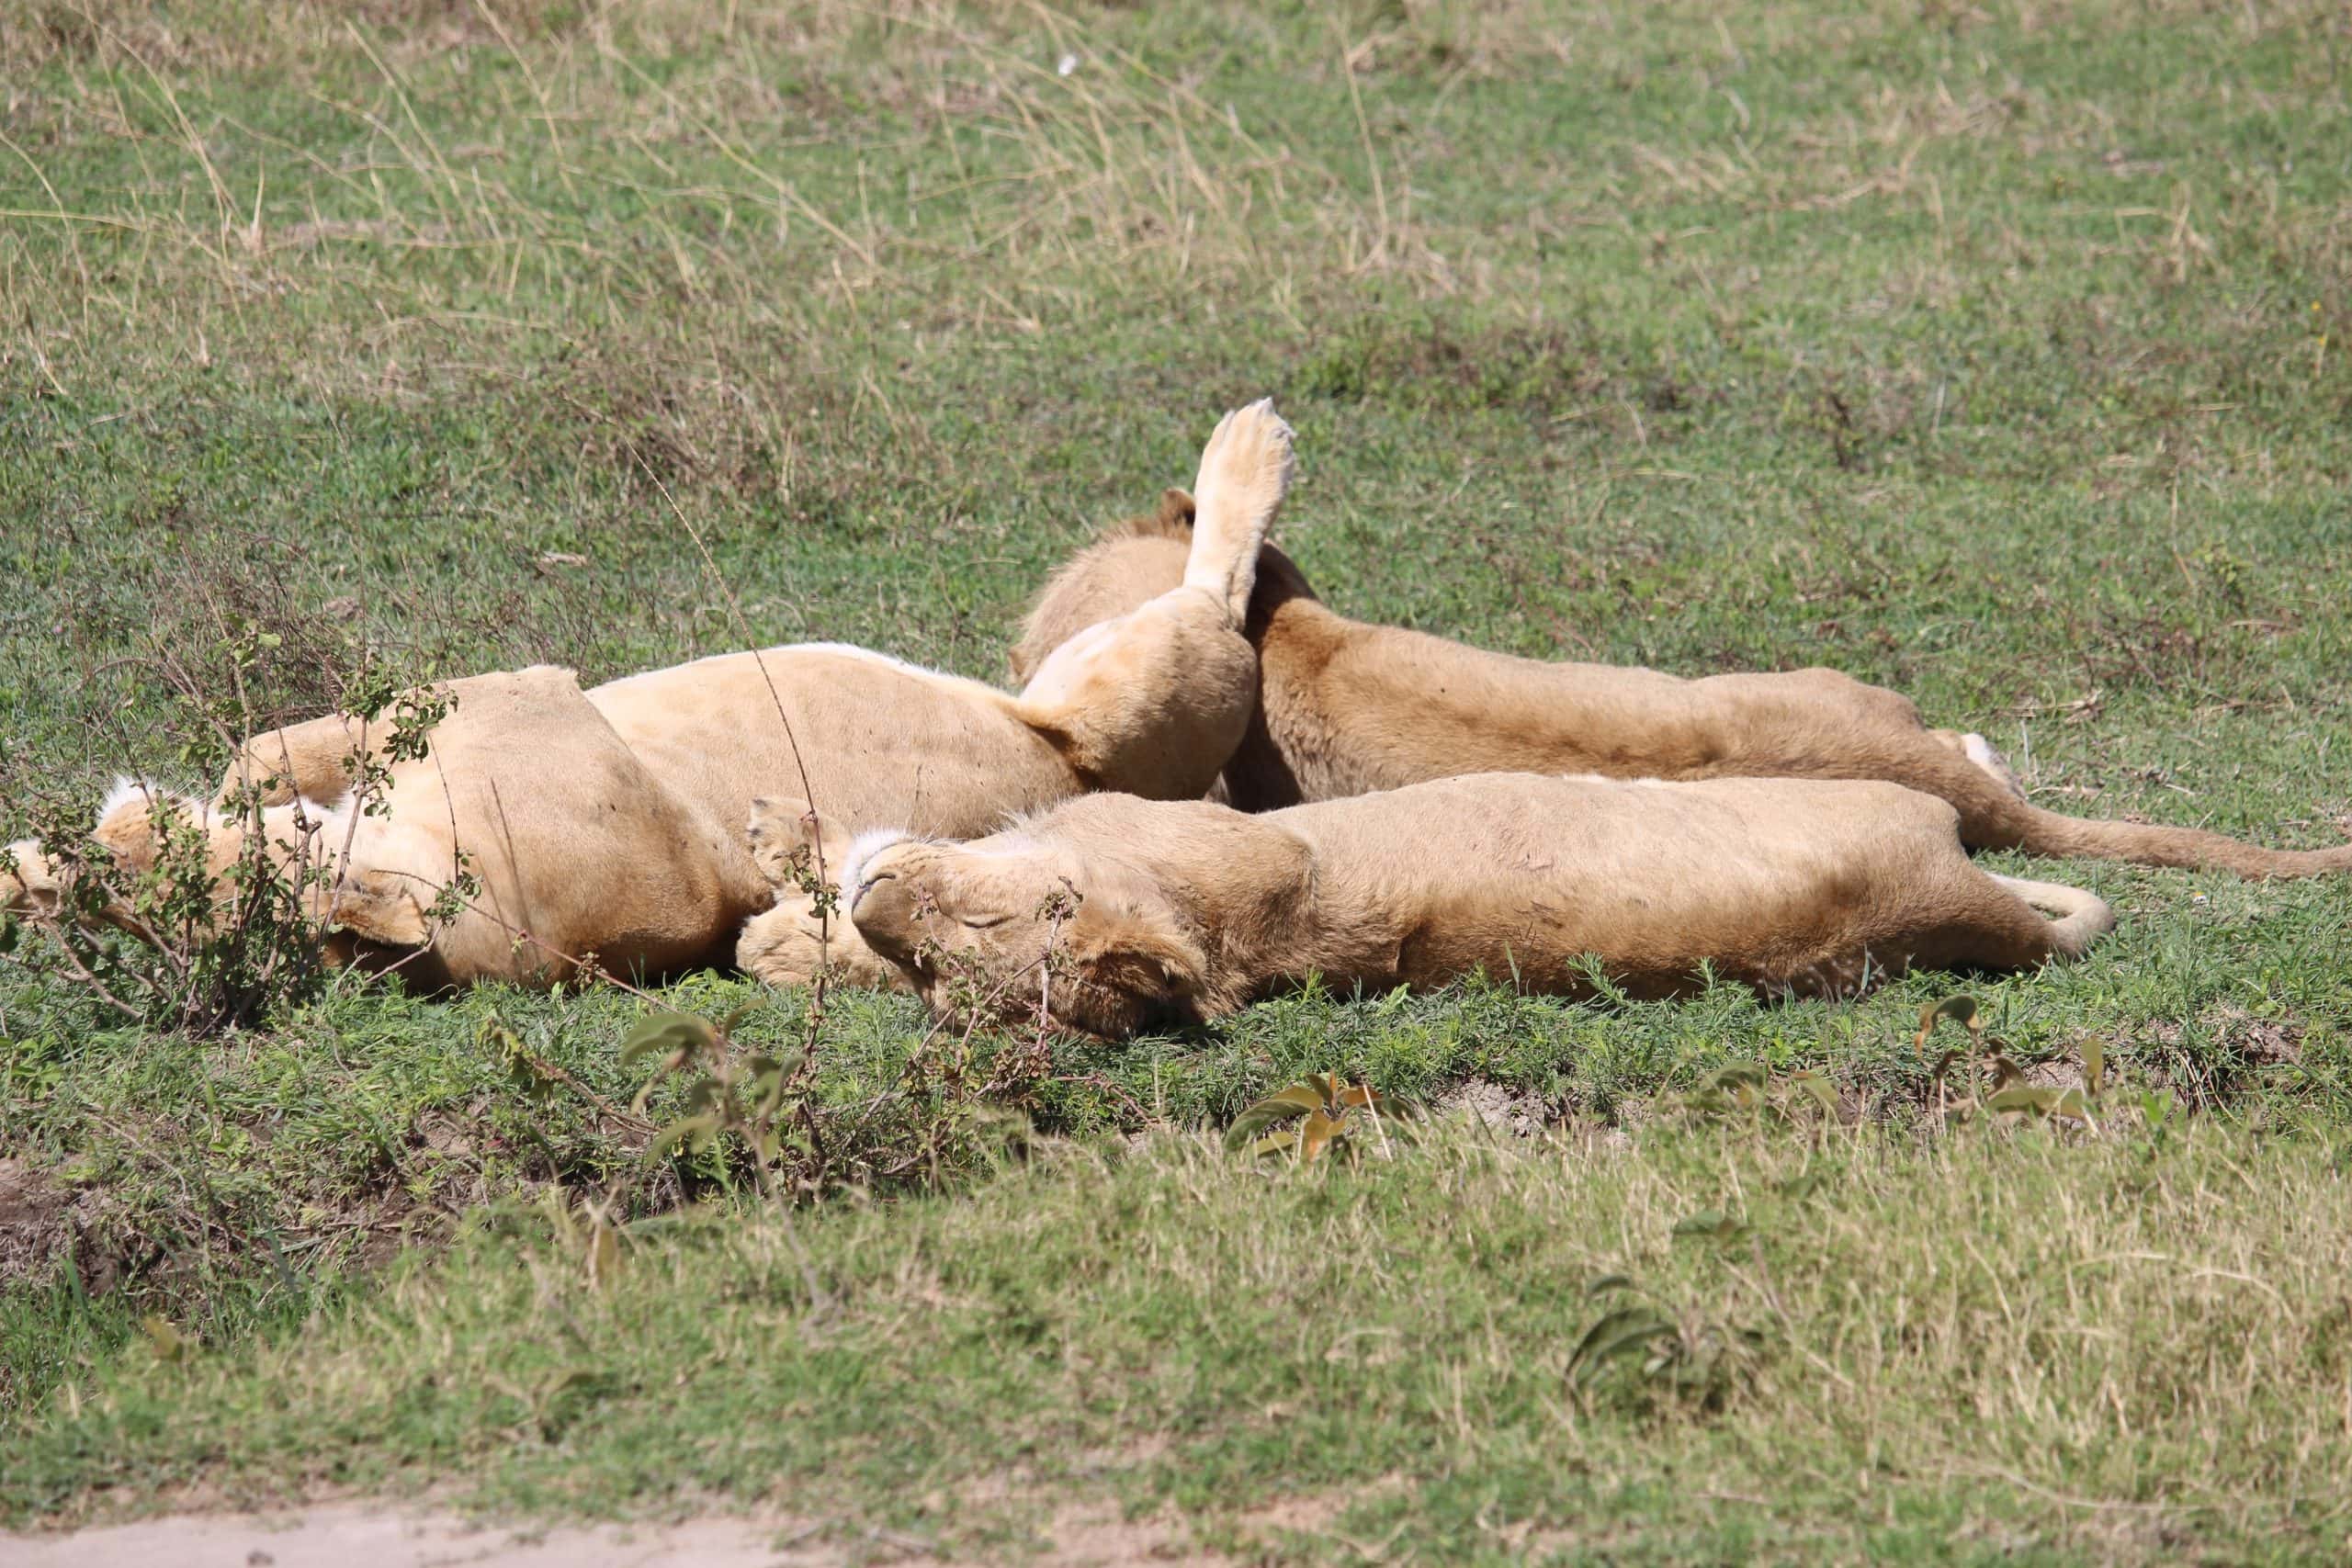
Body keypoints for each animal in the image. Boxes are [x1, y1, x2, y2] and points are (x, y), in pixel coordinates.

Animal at [6, 401, 1297, 990]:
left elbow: (278, 751)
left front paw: (230, 781)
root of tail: (1068, 760)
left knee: (1214, 593)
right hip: (1094, 695)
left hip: (1122, 691)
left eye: (120, 880)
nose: (32, 877)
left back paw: (1249, 444)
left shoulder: (513, 692)